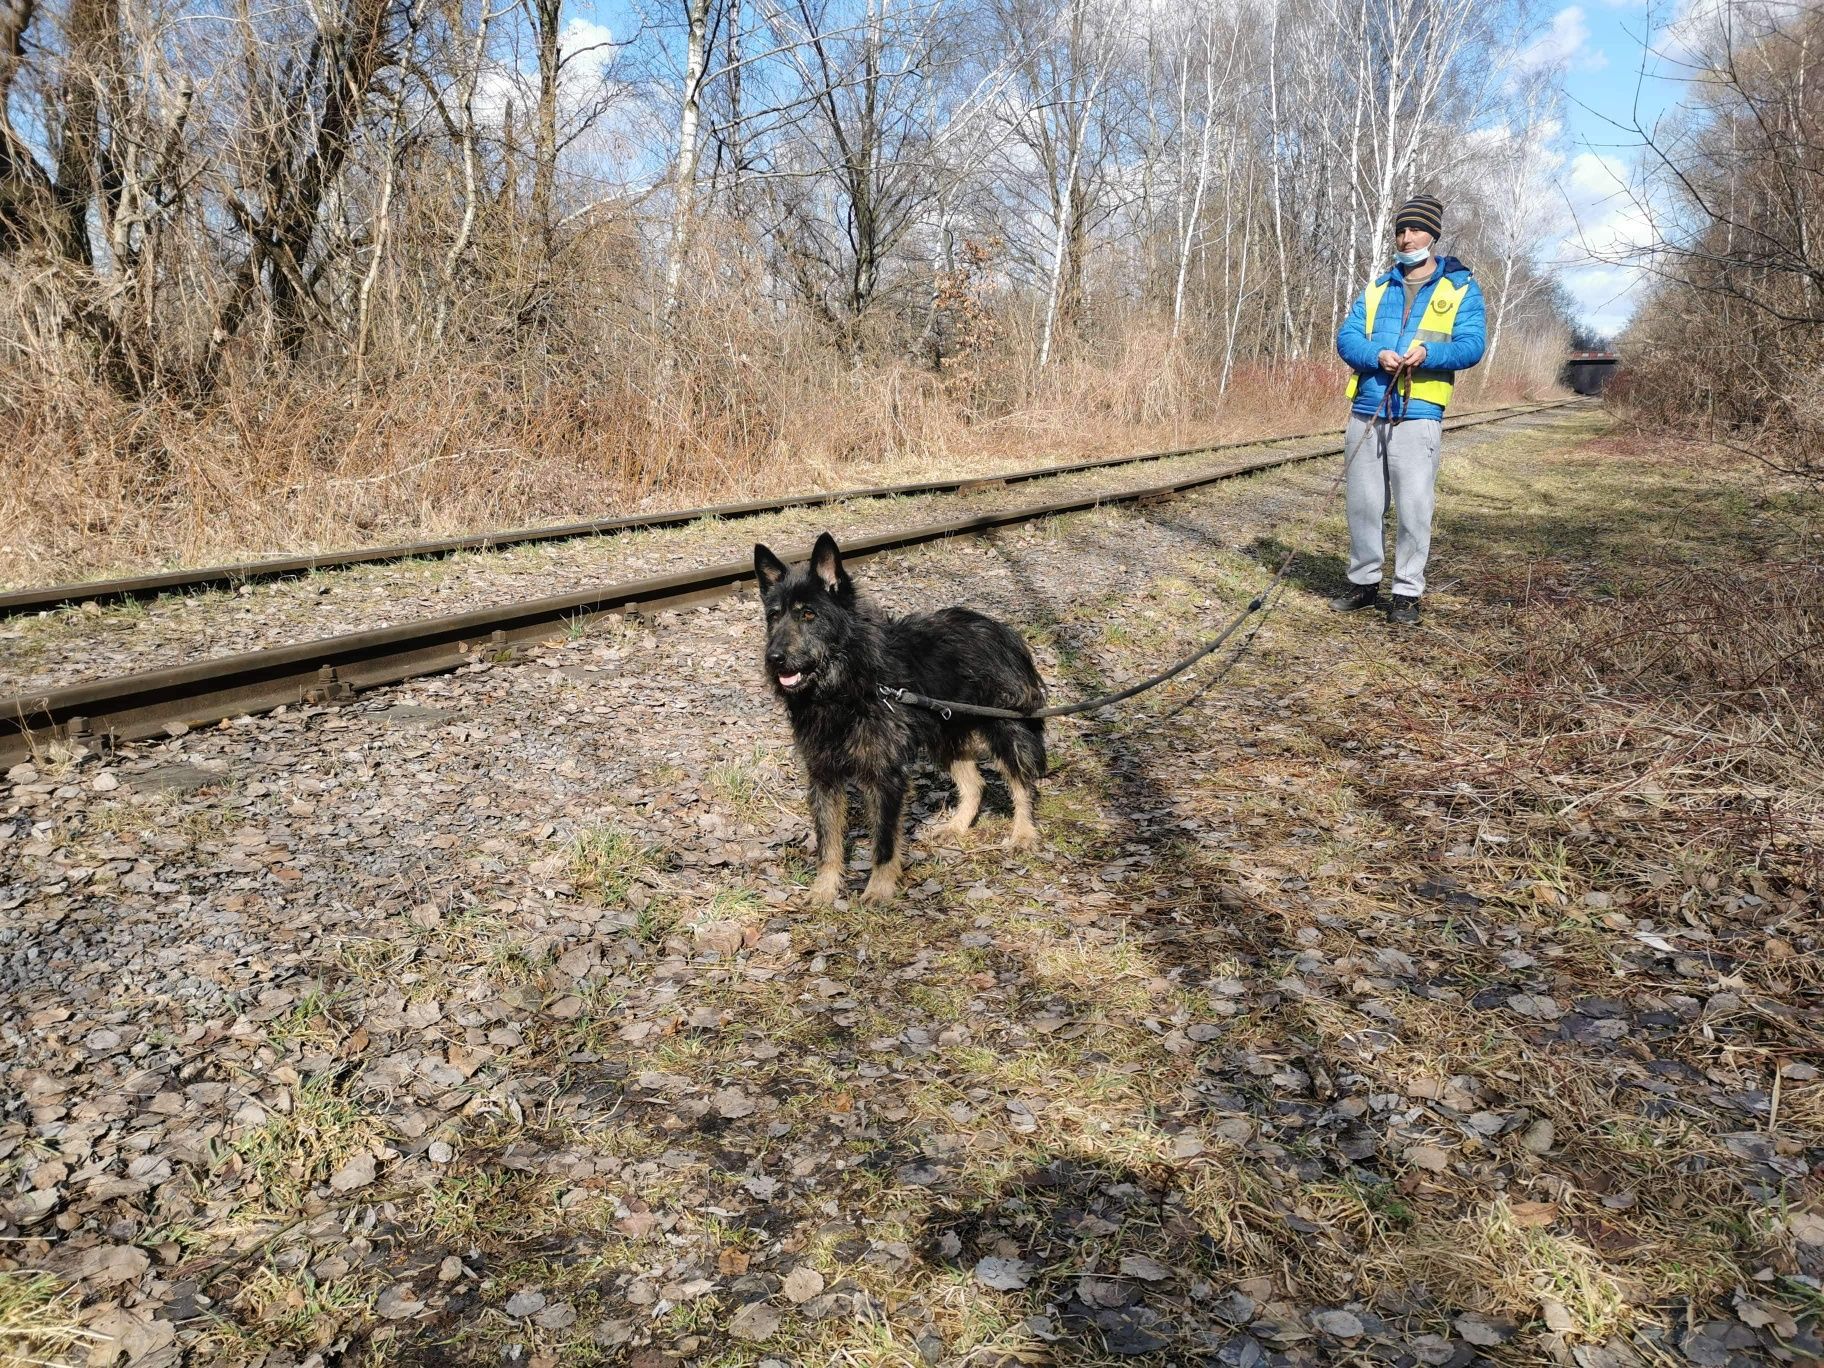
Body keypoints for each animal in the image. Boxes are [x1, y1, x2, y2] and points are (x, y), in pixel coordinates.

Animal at [747, 536, 1050, 912]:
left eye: (808, 614)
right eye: (774, 616)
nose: (773, 659)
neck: (845, 686)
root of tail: (1000, 628)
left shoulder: (885, 775)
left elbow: (885, 841)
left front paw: (879, 889)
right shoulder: (823, 775)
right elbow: (828, 842)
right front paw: (824, 890)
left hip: (1005, 726)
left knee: (1023, 782)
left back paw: (1023, 832)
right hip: (944, 732)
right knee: (975, 783)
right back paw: (956, 826)